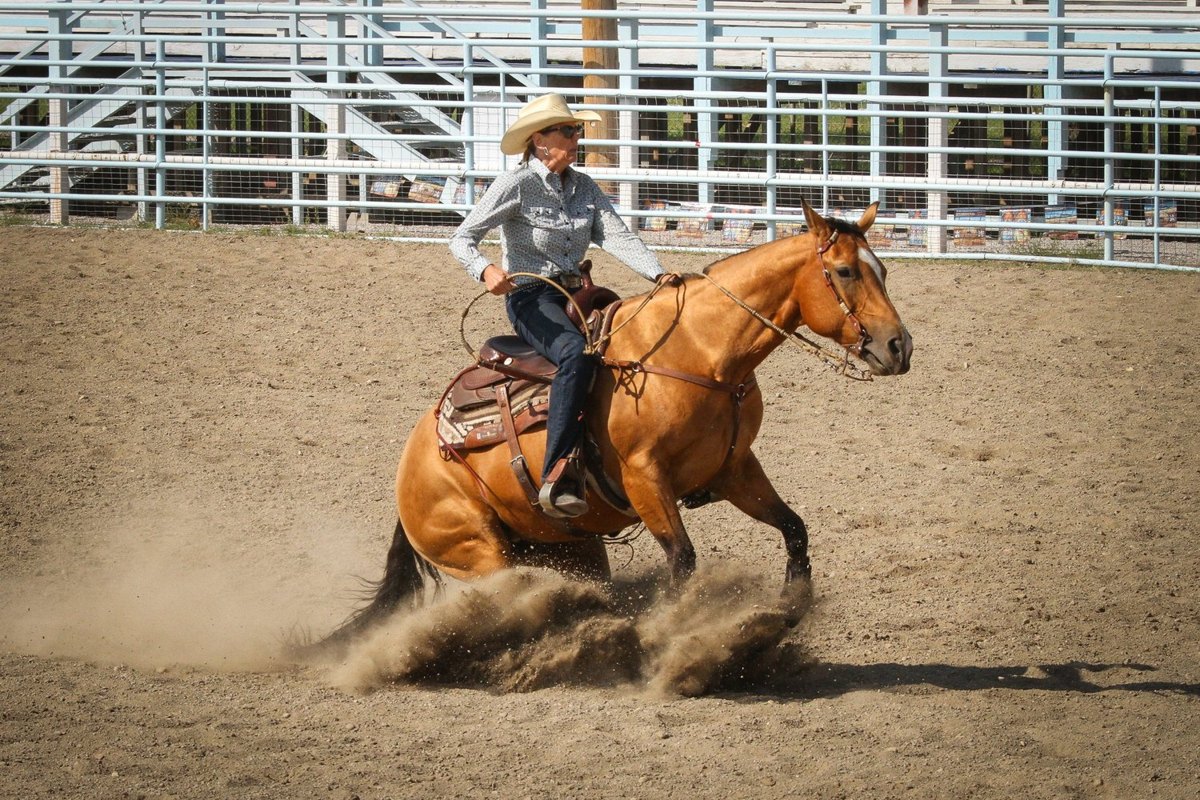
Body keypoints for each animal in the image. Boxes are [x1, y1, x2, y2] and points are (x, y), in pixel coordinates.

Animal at [322, 199, 911, 645]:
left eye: (883, 269)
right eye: (844, 272)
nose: (898, 346)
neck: (702, 354)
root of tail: (414, 460)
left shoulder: (734, 469)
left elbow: (793, 528)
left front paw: (792, 604)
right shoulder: (644, 477)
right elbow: (682, 560)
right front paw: (671, 631)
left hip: (571, 549)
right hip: (478, 550)